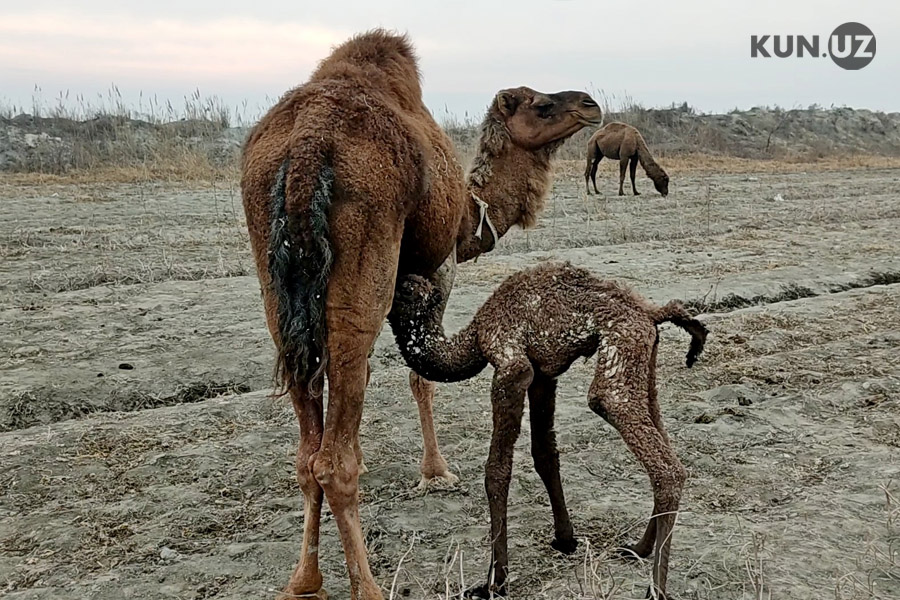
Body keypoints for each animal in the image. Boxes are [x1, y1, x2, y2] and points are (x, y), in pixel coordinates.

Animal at [239, 30, 604, 600]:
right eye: (542, 104)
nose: (591, 104)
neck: (472, 215)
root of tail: (306, 148)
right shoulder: (438, 267)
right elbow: (421, 378)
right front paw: (436, 472)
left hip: (277, 288)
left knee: (306, 454)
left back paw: (304, 580)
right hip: (363, 258)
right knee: (331, 460)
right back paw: (367, 587)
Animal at [390, 262, 708, 600]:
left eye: (405, 289)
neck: (473, 338)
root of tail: (650, 311)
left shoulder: (511, 366)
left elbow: (496, 472)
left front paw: (495, 582)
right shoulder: (543, 374)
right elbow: (544, 454)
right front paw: (565, 539)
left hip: (617, 360)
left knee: (664, 466)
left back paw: (654, 589)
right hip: (644, 362)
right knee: (665, 445)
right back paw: (638, 547)